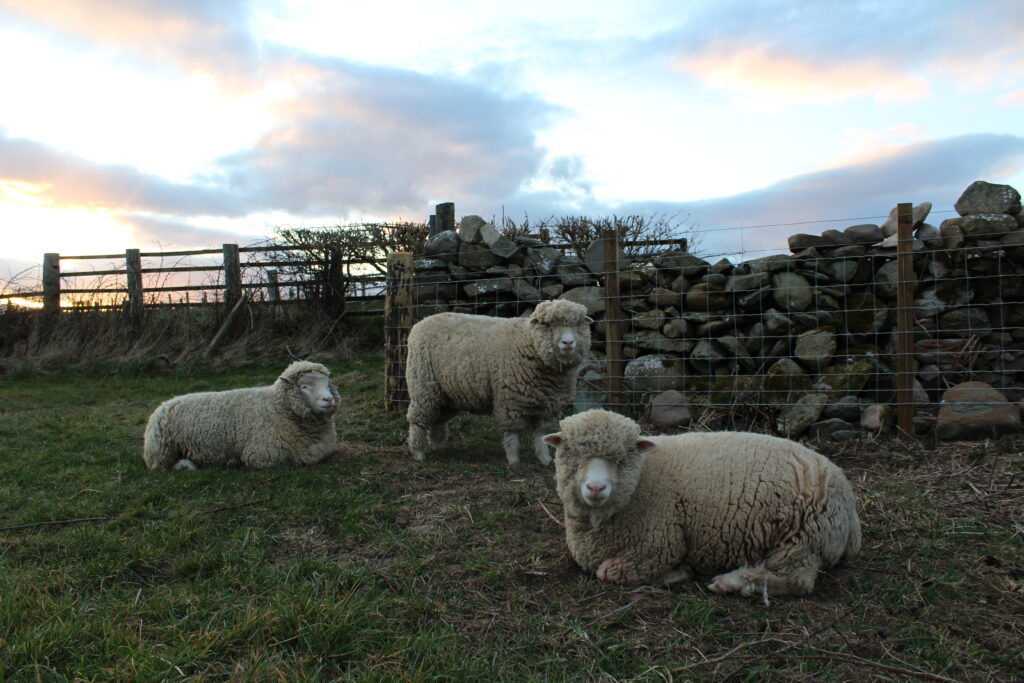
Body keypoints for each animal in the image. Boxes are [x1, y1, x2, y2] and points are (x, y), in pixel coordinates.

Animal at [142, 358, 339, 471]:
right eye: (304, 386)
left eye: (327, 384)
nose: (329, 399)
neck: (277, 408)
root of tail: (162, 405)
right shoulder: (262, 456)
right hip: (161, 449)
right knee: (160, 467)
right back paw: (187, 465)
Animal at [405, 301, 593, 466]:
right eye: (547, 325)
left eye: (578, 324)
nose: (568, 343)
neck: (529, 342)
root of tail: (421, 322)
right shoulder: (510, 399)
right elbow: (512, 434)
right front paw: (514, 460)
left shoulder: (549, 404)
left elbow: (541, 434)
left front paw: (545, 459)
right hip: (423, 386)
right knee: (417, 421)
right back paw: (418, 453)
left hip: (447, 395)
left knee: (439, 420)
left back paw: (439, 447)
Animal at [548, 411, 860, 598]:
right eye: (573, 455)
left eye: (621, 459)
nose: (596, 488)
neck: (642, 480)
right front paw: (680, 574)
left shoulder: (660, 542)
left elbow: (611, 572)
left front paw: (675, 574)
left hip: (803, 537)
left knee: (796, 580)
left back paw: (732, 582)